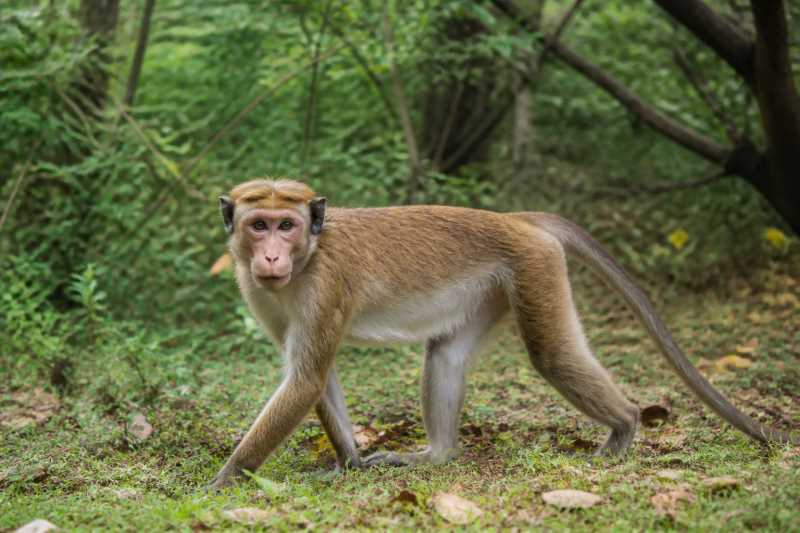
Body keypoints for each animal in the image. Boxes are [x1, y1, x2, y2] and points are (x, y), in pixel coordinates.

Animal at [209, 178, 794, 489]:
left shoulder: (325, 284)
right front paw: (349, 464)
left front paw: (223, 482)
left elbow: (305, 379)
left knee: (551, 353)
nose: (270, 256)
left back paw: (626, 425)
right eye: (258, 225)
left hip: (534, 265)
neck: (306, 259)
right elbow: (317, 377)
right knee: (446, 353)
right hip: (492, 286)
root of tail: (517, 219)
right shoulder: (257, 290)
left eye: (286, 225)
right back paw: (438, 455)